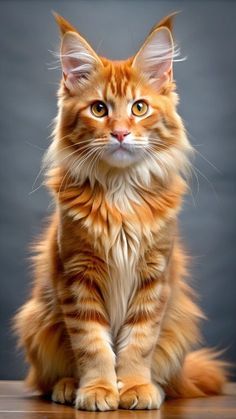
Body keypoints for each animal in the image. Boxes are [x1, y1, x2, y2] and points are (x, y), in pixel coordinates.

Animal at [13, 11, 228, 412]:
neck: (121, 190)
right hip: (37, 318)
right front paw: (98, 389)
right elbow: (93, 344)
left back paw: (156, 387)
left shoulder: (154, 277)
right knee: (44, 379)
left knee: (168, 377)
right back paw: (68, 386)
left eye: (138, 108)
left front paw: (134, 387)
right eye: (99, 109)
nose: (121, 133)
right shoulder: (78, 275)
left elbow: (138, 344)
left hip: (179, 324)